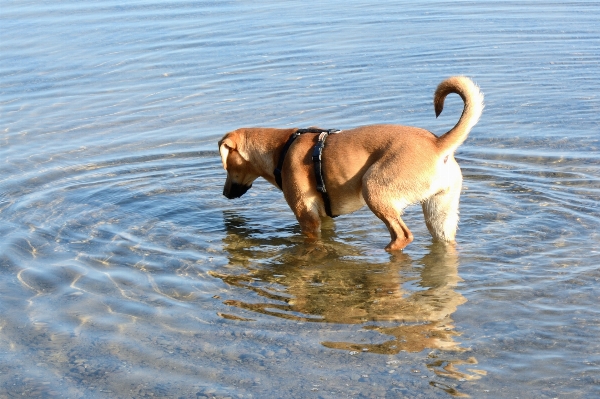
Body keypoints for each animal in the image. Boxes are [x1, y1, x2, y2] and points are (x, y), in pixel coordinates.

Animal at [219, 76, 482, 252]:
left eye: (228, 167)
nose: (224, 194)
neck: (282, 148)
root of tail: (437, 144)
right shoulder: (324, 218)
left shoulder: (307, 218)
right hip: (440, 216)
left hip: (374, 189)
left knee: (402, 236)